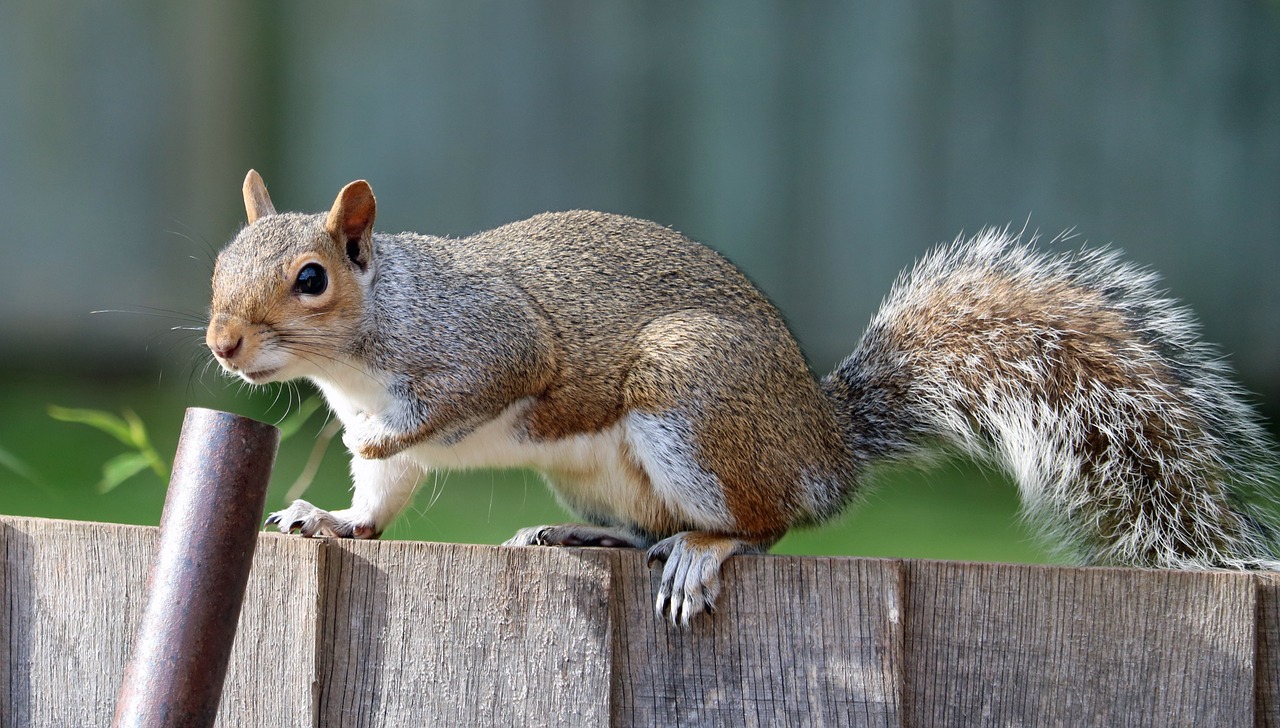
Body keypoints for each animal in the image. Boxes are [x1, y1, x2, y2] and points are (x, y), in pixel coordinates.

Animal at [207, 170, 1280, 624]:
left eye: (311, 279)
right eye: (221, 262)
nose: (222, 344)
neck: (360, 355)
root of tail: (824, 448)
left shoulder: (496, 347)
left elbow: (474, 397)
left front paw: (392, 444)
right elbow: (375, 507)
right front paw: (327, 517)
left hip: (693, 401)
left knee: (762, 526)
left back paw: (705, 553)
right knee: (649, 525)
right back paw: (591, 536)